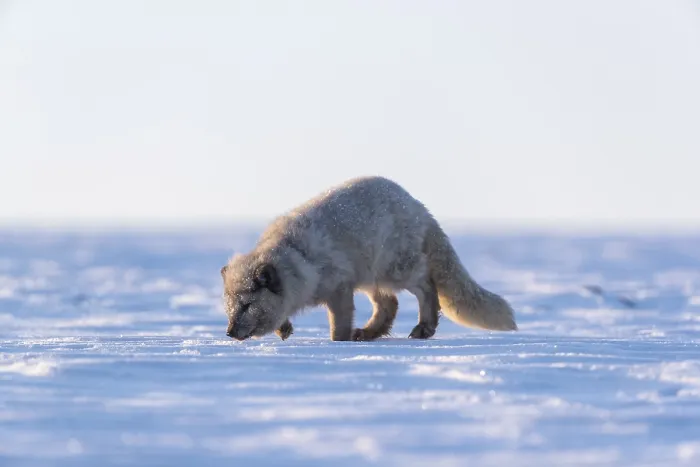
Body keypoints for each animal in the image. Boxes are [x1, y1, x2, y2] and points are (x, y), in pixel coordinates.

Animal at [220, 175, 517, 342]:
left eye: (247, 305)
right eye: (230, 308)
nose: (230, 332)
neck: (299, 258)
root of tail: (418, 207)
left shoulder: (339, 286)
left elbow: (339, 325)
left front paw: (338, 345)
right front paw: (284, 329)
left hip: (395, 269)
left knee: (426, 286)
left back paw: (424, 328)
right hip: (370, 278)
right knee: (390, 305)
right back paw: (367, 333)